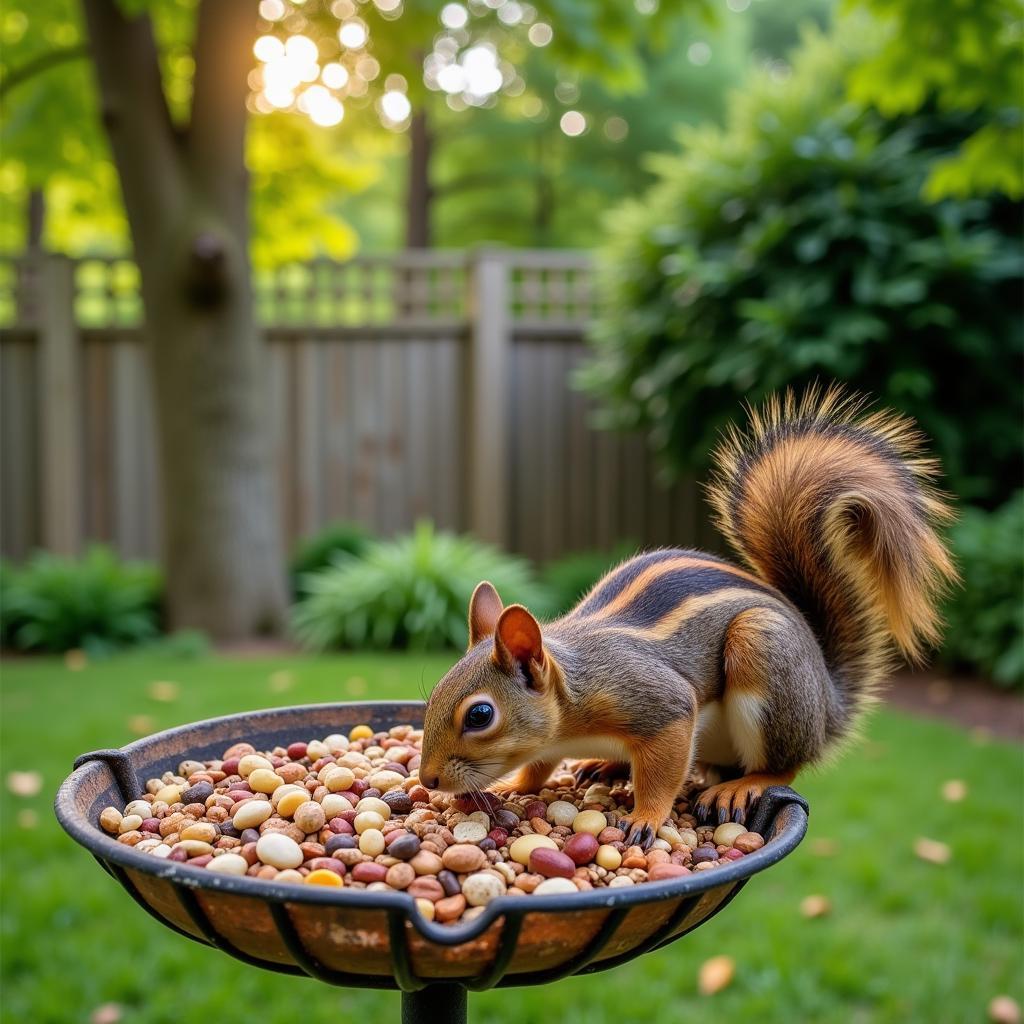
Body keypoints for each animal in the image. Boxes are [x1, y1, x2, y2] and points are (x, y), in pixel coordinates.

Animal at [417, 385, 958, 847]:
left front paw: (646, 817)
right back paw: (607, 767)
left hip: (765, 654)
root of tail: (827, 705)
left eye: (480, 715)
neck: (574, 691)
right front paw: (513, 786)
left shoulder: (657, 702)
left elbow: (663, 769)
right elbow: (538, 769)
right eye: (435, 692)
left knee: (783, 765)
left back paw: (744, 784)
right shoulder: (551, 745)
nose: (429, 778)